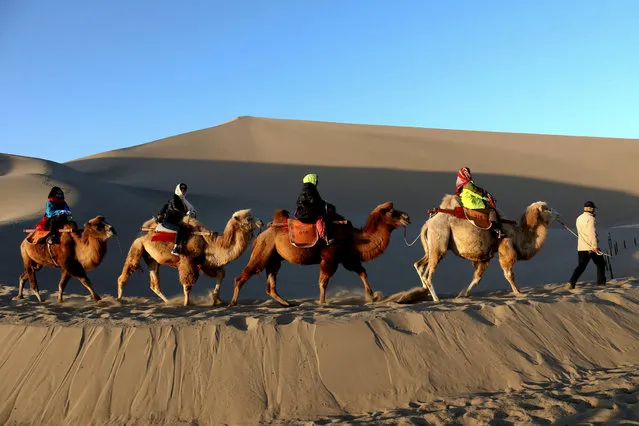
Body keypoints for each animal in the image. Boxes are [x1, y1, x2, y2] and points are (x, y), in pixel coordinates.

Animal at [117, 210, 262, 306]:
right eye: (248, 219)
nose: (261, 221)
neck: (209, 243)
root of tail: (144, 231)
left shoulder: (204, 263)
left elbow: (221, 273)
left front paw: (216, 298)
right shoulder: (188, 260)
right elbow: (187, 284)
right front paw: (187, 303)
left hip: (151, 258)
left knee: (154, 284)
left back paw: (169, 302)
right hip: (138, 245)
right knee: (126, 272)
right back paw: (119, 299)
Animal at [229, 202, 410, 306]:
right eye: (392, 212)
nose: (407, 217)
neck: (354, 238)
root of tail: (260, 235)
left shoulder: (347, 258)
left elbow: (362, 272)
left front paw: (372, 296)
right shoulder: (330, 258)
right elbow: (323, 282)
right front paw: (322, 303)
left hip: (274, 258)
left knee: (270, 286)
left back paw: (287, 303)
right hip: (263, 252)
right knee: (243, 276)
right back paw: (232, 303)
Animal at [412, 195, 556, 302]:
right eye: (547, 209)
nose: (558, 213)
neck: (517, 234)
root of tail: (427, 224)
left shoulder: (485, 255)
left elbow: (477, 278)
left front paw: (463, 294)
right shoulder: (506, 245)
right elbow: (508, 273)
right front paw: (518, 292)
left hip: (431, 247)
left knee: (419, 264)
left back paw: (424, 289)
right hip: (439, 242)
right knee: (429, 273)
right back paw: (436, 298)